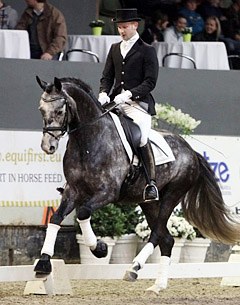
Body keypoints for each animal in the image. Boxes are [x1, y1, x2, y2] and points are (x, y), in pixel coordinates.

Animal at [33, 77, 240, 294]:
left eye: (59, 111)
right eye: (41, 110)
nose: (48, 147)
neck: (88, 140)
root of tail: (191, 151)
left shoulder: (107, 192)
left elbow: (82, 213)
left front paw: (99, 249)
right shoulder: (73, 190)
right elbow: (56, 218)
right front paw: (43, 264)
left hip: (172, 194)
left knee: (157, 234)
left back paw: (134, 268)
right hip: (148, 202)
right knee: (167, 240)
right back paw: (157, 285)